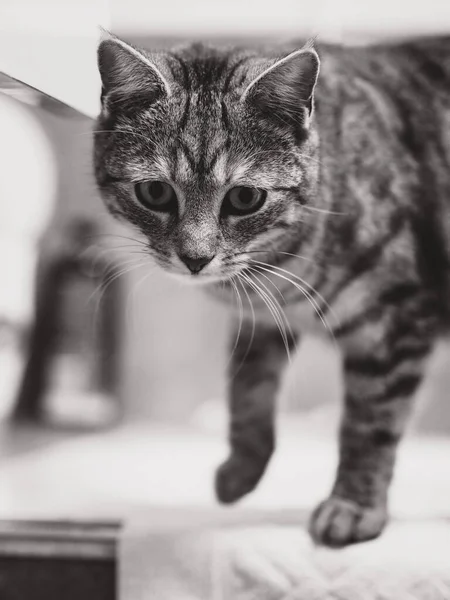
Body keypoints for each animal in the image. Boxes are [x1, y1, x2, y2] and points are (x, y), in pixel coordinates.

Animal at [92, 34, 450, 548]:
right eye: (155, 193)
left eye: (245, 198)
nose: (195, 258)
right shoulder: (259, 319)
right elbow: (247, 390)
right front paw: (240, 472)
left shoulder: (394, 321)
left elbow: (369, 422)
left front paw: (353, 506)